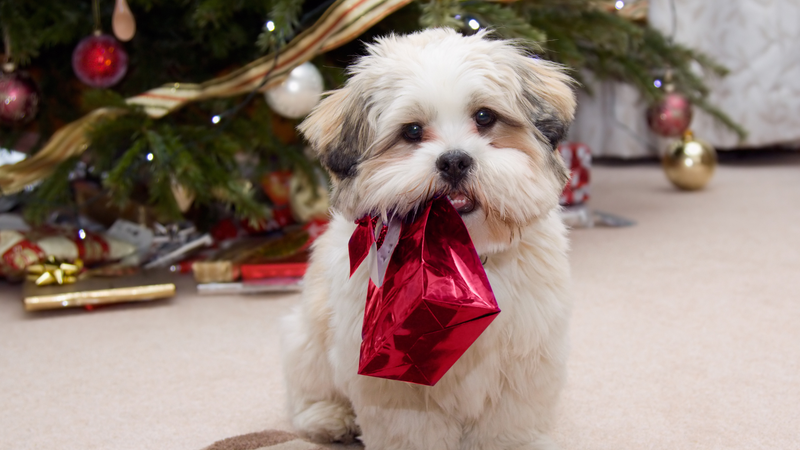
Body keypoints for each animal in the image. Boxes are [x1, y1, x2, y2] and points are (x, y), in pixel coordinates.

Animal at [284, 28, 580, 450]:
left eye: (484, 117)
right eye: (412, 131)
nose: (454, 160)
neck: (459, 258)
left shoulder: (524, 361)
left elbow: (508, 426)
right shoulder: (397, 381)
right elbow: (412, 432)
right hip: (306, 335)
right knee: (308, 389)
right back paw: (329, 417)